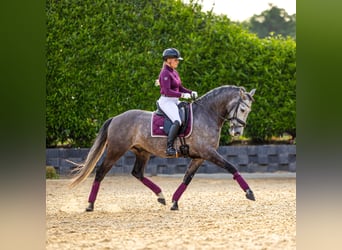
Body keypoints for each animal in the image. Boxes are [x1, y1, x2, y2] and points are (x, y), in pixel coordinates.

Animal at [70, 85, 256, 210]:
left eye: (248, 111)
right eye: (243, 109)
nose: (237, 132)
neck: (207, 114)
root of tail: (115, 118)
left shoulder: (199, 157)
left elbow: (187, 178)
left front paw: (174, 202)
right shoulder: (208, 152)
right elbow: (231, 167)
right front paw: (249, 192)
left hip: (142, 152)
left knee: (137, 173)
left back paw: (161, 196)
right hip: (116, 150)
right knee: (100, 172)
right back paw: (90, 205)